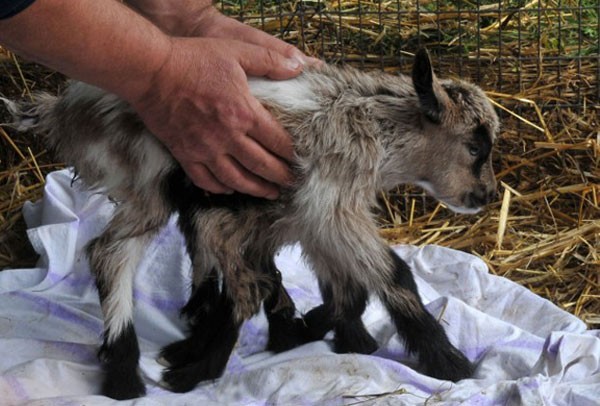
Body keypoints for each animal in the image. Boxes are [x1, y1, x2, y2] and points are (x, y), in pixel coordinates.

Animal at [7, 48, 500, 400]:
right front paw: (449, 362)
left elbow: (341, 285)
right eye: (476, 146)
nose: (489, 196)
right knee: (111, 254)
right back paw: (128, 373)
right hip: (148, 180)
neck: (370, 124)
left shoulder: (307, 213)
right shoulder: (329, 204)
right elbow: (391, 275)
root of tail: (65, 108)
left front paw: (336, 334)